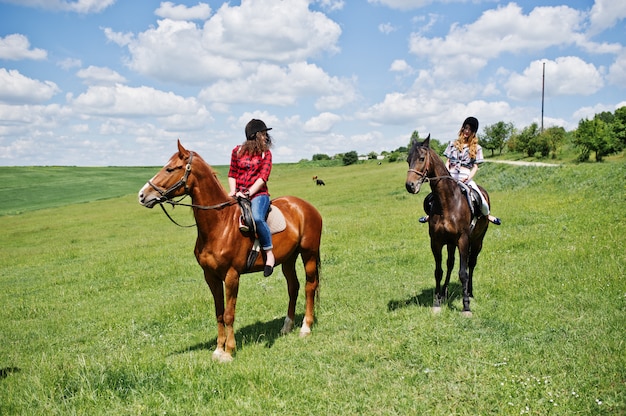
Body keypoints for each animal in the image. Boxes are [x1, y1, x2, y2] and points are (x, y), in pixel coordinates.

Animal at [137, 141, 322, 360]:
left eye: (170, 169)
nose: (142, 195)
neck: (220, 223)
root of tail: (307, 207)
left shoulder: (232, 275)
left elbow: (228, 313)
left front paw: (229, 351)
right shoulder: (211, 276)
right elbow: (218, 312)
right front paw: (218, 349)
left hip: (308, 253)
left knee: (310, 286)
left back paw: (306, 327)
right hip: (288, 259)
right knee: (293, 287)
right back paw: (286, 327)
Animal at [402, 136, 490, 316]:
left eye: (422, 158)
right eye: (408, 160)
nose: (410, 186)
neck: (447, 202)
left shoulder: (463, 240)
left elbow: (463, 273)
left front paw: (465, 306)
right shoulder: (436, 242)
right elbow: (439, 271)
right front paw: (437, 302)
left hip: (477, 240)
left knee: (471, 264)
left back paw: (470, 292)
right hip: (450, 243)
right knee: (450, 264)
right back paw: (444, 293)